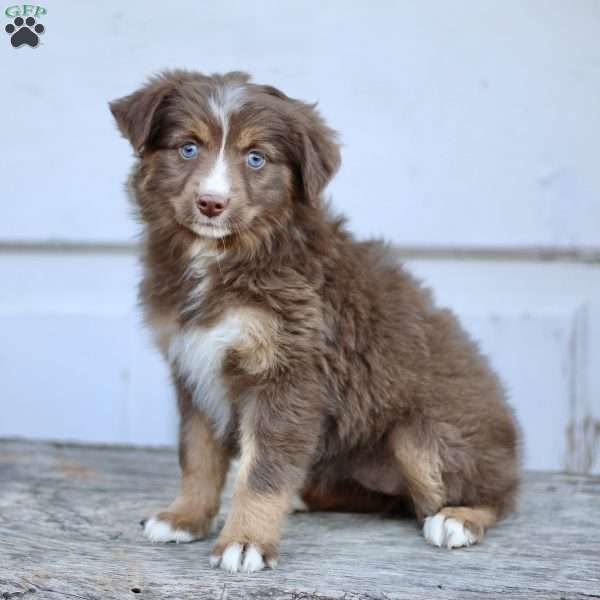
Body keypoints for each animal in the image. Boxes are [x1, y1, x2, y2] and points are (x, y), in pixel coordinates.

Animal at [109, 71, 520, 576]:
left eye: (256, 158)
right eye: (188, 148)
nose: (211, 203)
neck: (226, 256)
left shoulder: (291, 373)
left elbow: (263, 472)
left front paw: (244, 541)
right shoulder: (193, 368)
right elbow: (198, 455)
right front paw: (185, 517)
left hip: (424, 437)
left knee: (494, 494)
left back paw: (459, 517)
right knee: (388, 499)